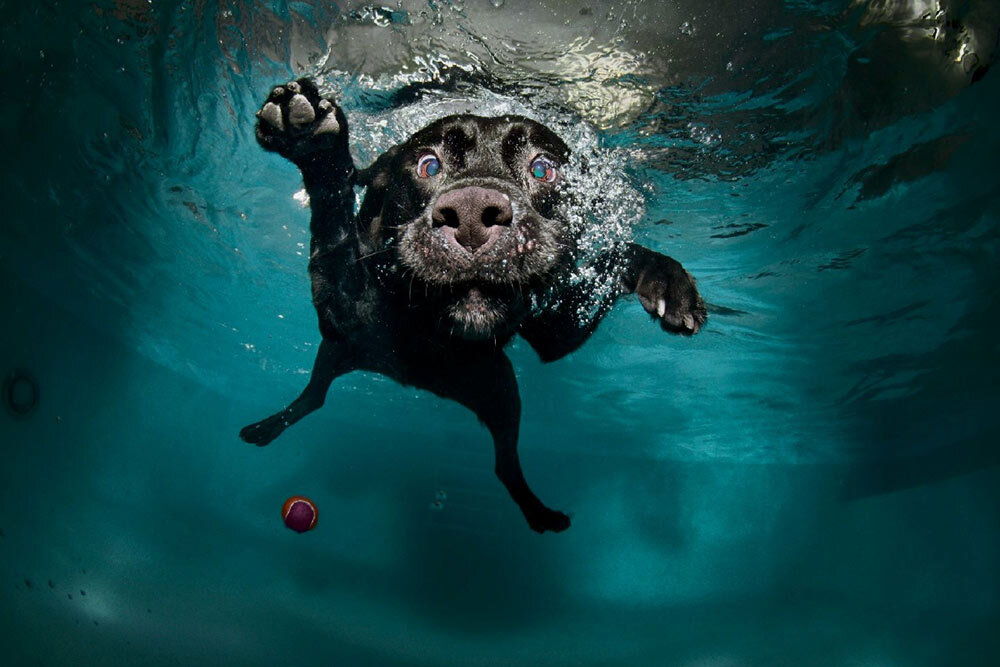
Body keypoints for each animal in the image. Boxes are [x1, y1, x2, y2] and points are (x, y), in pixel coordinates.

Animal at [242, 79, 708, 532]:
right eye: (428, 165)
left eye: (543, 168)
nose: (469, 213)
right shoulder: (345, 312)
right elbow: (333, 231)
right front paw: (314, 144)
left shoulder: (556, 330)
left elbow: (616, 256)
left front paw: (666, 279)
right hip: (341, 353)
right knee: (314, 397)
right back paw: (266, 428)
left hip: (500, 390)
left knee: (504, 464)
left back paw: (539, 513)